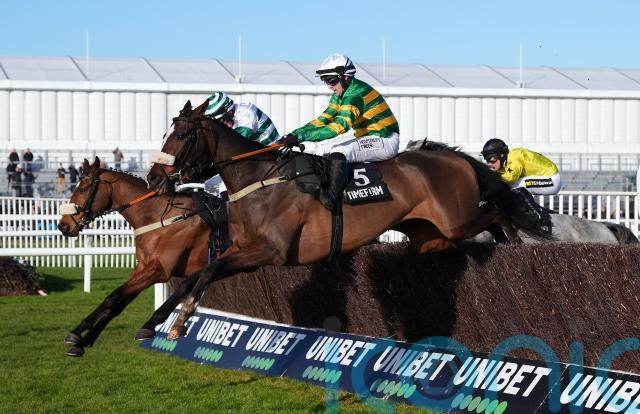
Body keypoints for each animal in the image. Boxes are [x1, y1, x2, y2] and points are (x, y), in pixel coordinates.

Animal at [57, 157, 211, 356]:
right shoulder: (142, 267)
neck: (160, 216)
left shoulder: (159, 270)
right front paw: (84, 340)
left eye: (83, 189)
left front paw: (77, 332)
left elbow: (114, 296)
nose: (63, 225)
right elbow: (119, 301)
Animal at [142, 99, 550, 340]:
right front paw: (155, 322)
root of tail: (453, 157)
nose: (154, 179)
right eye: (164, 132)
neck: (260, 178)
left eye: (181, 134)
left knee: (497, 209)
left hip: (458, 218)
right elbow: (195, 275)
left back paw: (519, 233)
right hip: (431, 237)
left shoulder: (269, 252)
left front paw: (181, 321)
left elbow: (207, 272)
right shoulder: (242, 251)